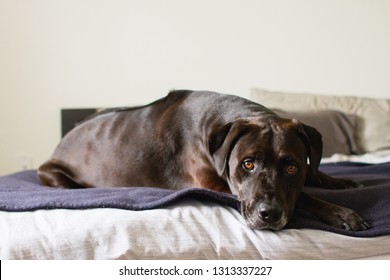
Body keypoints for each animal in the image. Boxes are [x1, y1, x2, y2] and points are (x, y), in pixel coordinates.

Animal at [38, 91, 370, 231]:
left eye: (291, 167)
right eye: (247, 164)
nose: (268, 214)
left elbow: (311, 177)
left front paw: (339, 180)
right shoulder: (215, 184)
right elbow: (302, 197)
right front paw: (341, 212)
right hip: (49, 172)